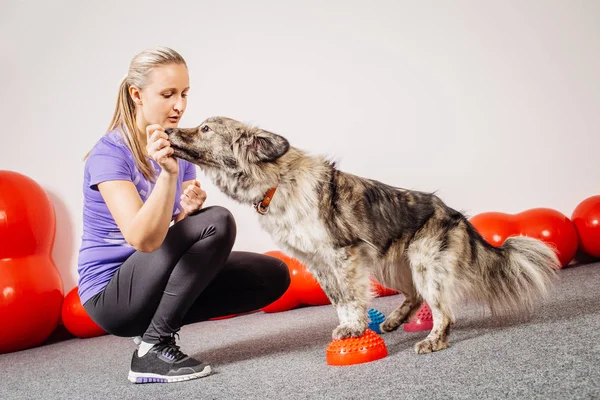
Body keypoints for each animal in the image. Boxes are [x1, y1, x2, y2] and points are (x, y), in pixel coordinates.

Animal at [164, 115, 556, 354]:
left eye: (205, 129)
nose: (167, 131)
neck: (277, 181)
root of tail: (456, 215)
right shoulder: (320, 263)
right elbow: (338, 299)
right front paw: (350, 326)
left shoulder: (343, 253)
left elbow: (351, 298)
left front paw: (353, 328)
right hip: (389, 265)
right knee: (414, 296)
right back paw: (396, 320)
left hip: (424, 264)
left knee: (443, 312)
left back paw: (433, 341)